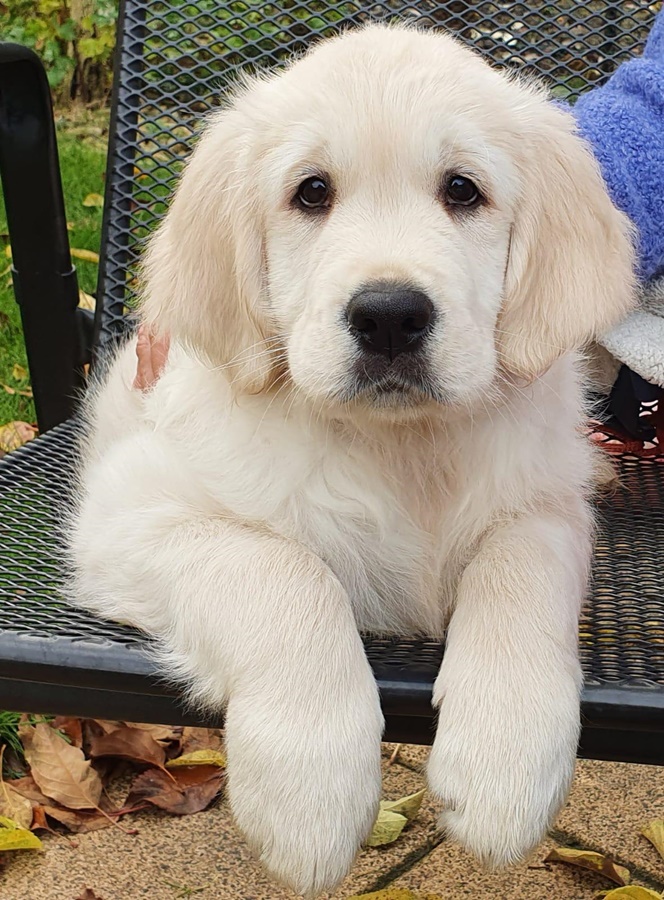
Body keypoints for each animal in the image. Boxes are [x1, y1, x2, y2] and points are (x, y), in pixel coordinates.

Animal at [69, 23, 636, 897]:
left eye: (463, 190)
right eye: (311, 192)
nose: (390, 316)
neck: (400, 449)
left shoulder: (545, 503)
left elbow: (519, 570)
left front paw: (505, 765)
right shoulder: (130, 514)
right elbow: (284, 570)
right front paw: (310, 794)